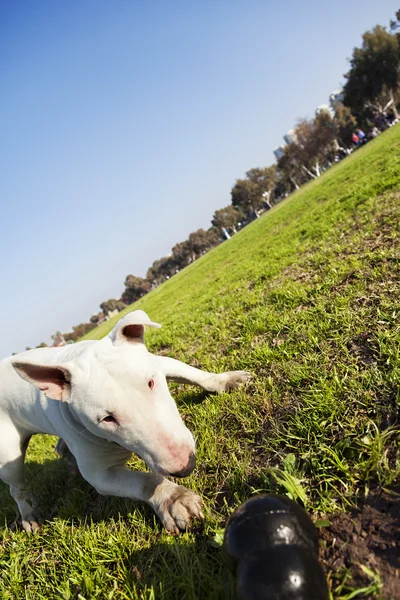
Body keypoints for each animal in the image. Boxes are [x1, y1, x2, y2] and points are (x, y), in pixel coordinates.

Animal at [0, 312, 248, 532]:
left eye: (151, 383)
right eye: (107, 418)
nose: (184, 465)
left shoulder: (160, 362)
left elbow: (195, 374)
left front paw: (226, 380)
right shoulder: (100, 474)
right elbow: (143, 481)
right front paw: (173, 499)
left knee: (60, 447)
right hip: (9, 457)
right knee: (15, 488)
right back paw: (29, 515)